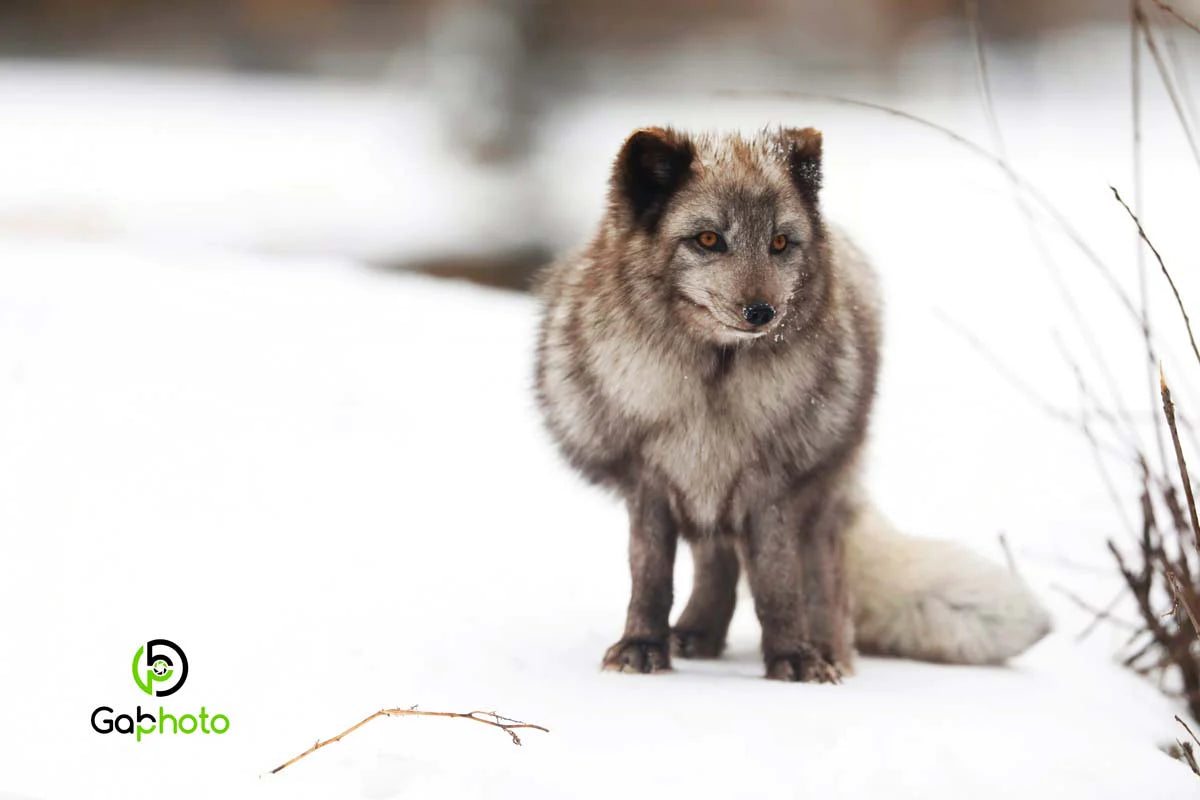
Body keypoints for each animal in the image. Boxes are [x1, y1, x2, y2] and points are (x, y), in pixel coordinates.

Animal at [534, 126, 1050, 681]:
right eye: (708, 239)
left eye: (779, 243)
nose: (762, 312)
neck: (711, 387)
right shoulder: (650, 483)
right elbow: (650, 577)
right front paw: (642, 647)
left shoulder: (774, 485)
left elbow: (778, 583)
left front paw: (794, 658)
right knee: (718, 558)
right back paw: (697, 634)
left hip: (820, 491)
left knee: (818, 578)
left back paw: (826, 649)